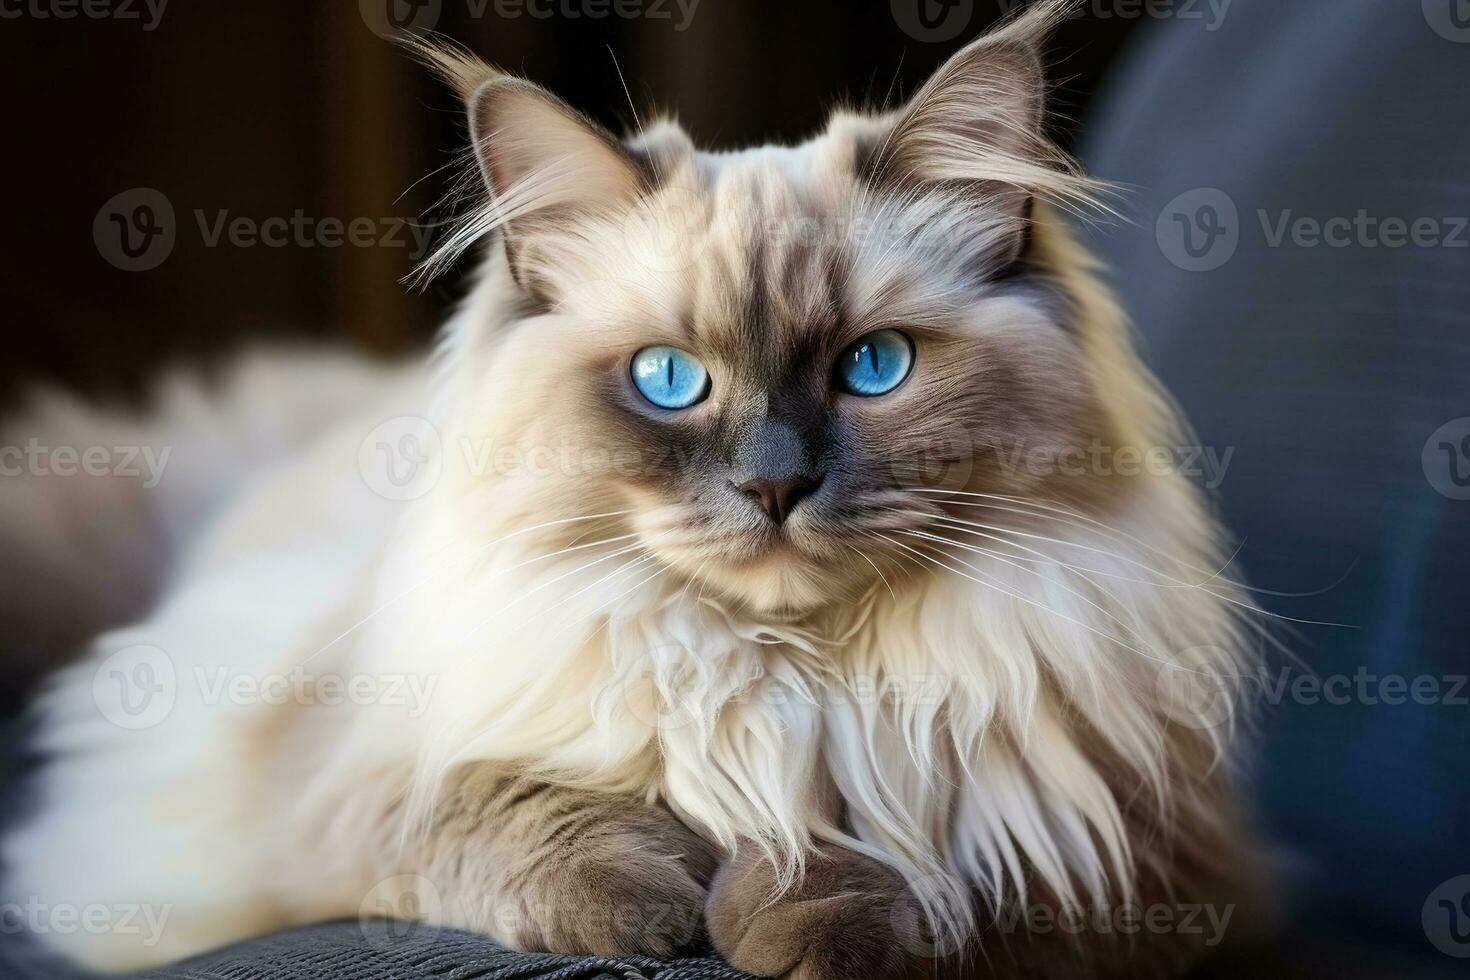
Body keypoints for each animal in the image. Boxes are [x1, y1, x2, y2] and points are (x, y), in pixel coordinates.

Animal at [2, 0, 1264, 975]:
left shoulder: (1155, 848)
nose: (775, 484)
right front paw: (664, 906)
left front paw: (789, 911)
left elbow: (953, 852)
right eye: (668, 380)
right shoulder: (340, 787)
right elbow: (510, 804)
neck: (782, 674)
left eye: (874, 366)